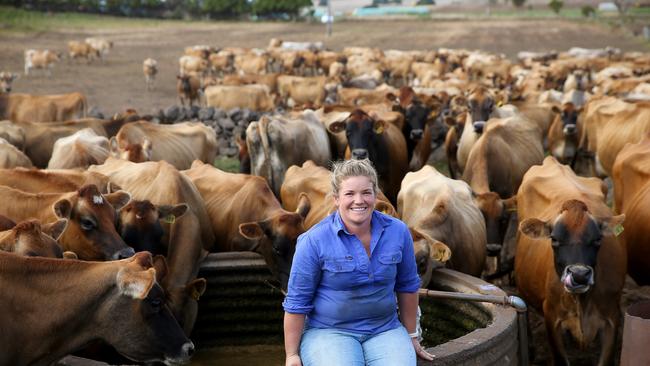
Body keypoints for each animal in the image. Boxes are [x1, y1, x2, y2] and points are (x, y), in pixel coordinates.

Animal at [512, 157, 624, 366]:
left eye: (598, 239)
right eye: (554, 239)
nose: (579, 275)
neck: (582, 301)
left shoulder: (612, 315)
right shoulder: (551, 315)